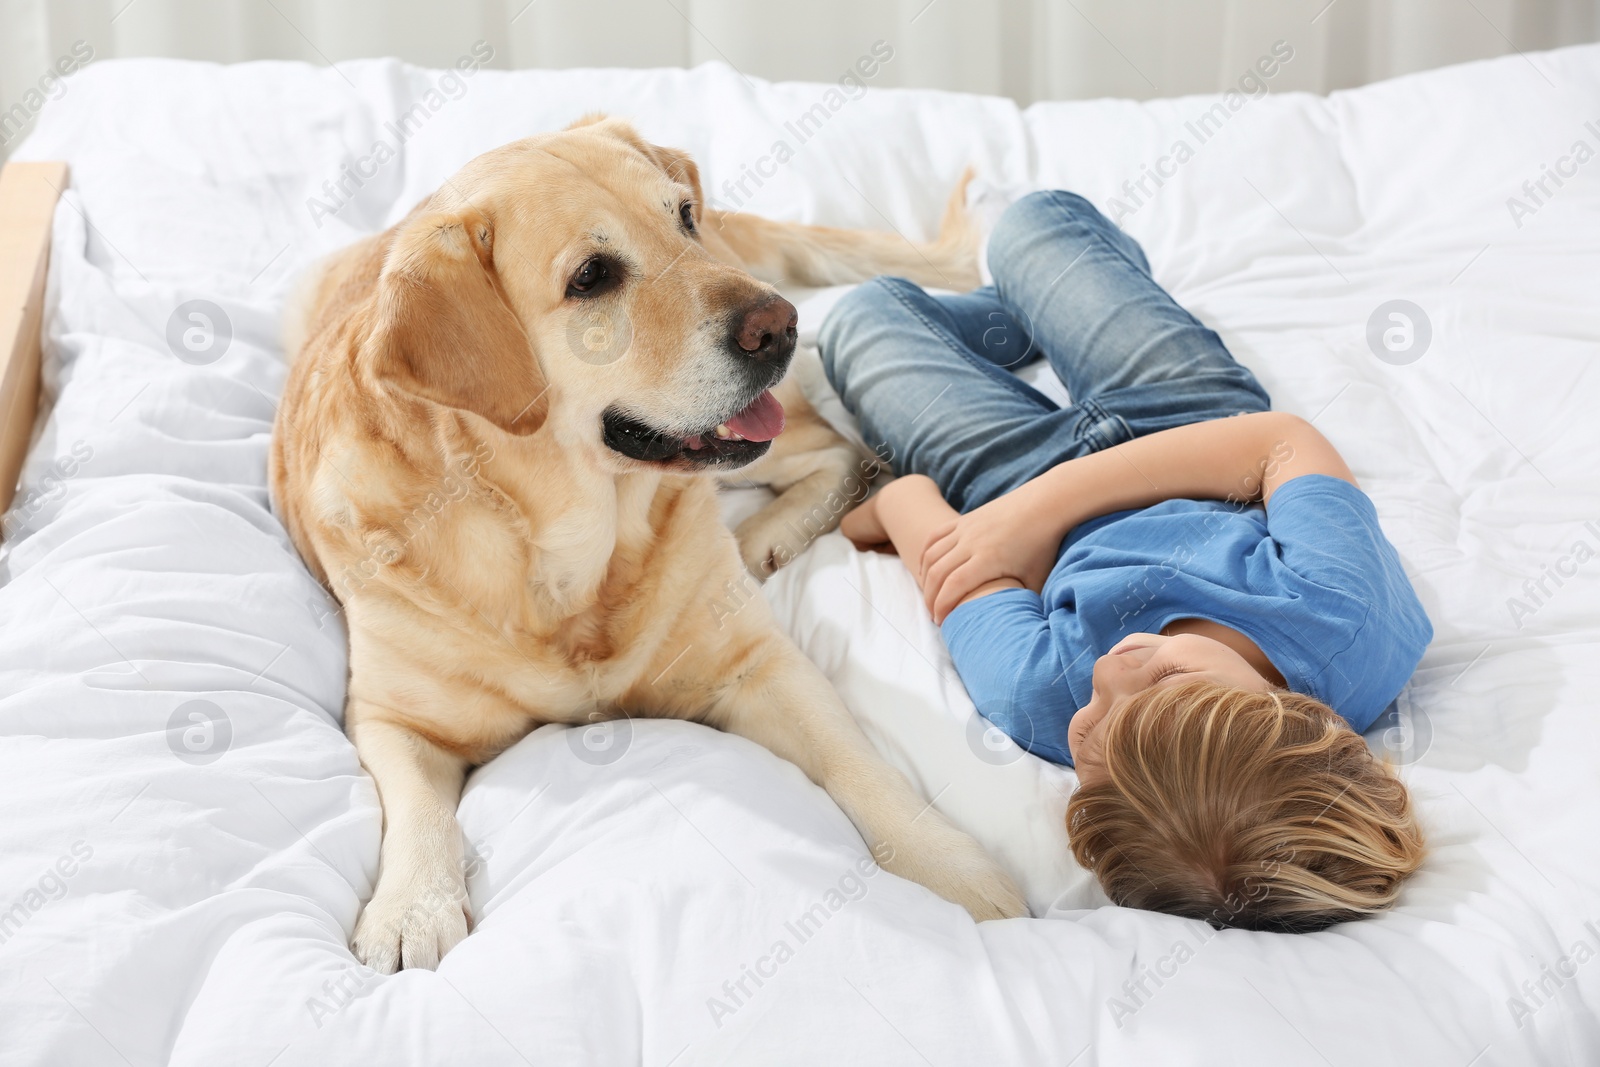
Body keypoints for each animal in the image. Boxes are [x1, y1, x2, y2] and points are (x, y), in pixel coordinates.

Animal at [272, 116, 1024, 979]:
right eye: (591, 277)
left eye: (682, 216)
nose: (779, 325)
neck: (565, 549)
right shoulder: (387, 716)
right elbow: (417, 808)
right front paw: (411, 908)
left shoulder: (762, 666)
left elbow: (861, 765)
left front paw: (951, 863)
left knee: (840, 451)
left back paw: (763, 533)